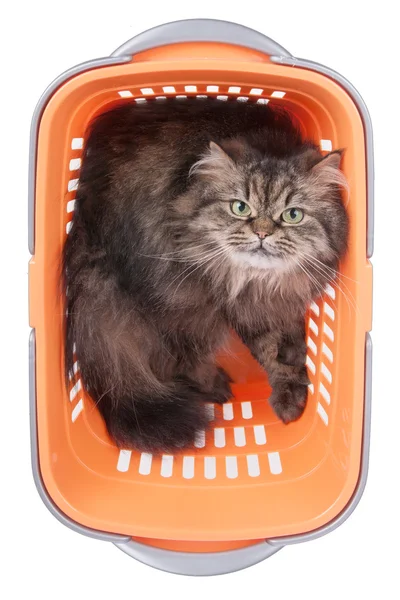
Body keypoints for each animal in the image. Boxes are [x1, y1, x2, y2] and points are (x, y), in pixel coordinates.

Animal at [64, 98, 348, 452]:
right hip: (179, 297)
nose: (262, 233)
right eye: (240, 207)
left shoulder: (273, 305)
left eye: (292, 215)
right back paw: (215, 388)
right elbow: (256, 350)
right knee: (182, 356)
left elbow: (284, 350)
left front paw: (292, 395)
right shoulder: (220, 304)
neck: (256, 283)